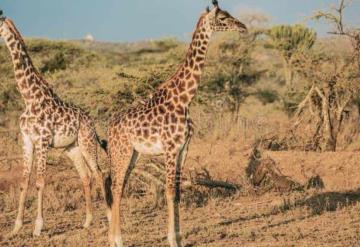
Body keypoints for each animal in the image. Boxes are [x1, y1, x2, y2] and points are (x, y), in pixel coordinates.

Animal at [0, 14, 107, 235]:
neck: (29, 98)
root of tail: (91, 122)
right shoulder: (27, 139)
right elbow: (24, 181)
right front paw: (16, 227)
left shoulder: (42, 140)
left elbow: (40, 182)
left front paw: (38, 227)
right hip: (71, 148)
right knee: (86, 176)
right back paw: (87, 221)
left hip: (87, 143)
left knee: (99, 173)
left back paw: (108, 220)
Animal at [104, 0, 248, 246]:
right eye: (222, 18)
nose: (243, 27)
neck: (184, 99)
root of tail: (109, 127)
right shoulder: (170, 148)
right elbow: (170, 191)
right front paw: (171, 239)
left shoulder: (184, 148)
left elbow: (179, 192)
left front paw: (180, 238)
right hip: (121, 151)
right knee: (115, 186)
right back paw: (118, 240)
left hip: (133, 154)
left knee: (118, 187)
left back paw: (114, 239)